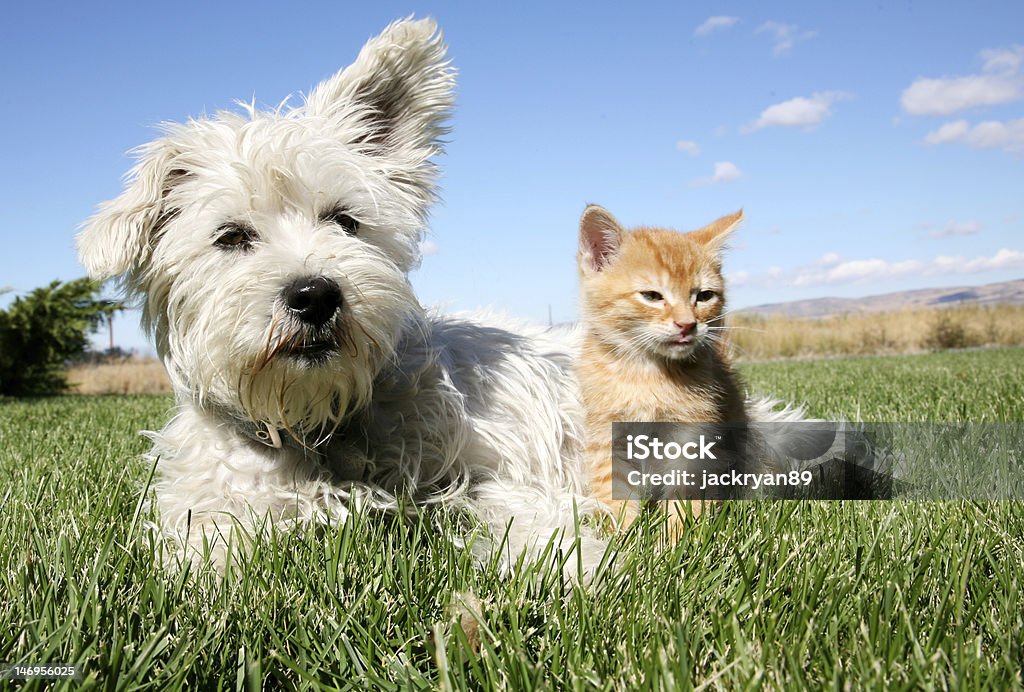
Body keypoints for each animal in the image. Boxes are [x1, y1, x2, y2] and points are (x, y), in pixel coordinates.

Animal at [81, 17, 606, 577]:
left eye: (345, 221)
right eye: (231, 236)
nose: (314, 295)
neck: (314, 421)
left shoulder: (506, 462)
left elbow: (524, 503)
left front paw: (561, 562)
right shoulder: (218, 487)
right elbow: (205, 544)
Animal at [577, 203, 745, 528]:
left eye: (704, 296)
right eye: (652, 296)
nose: (687, 324)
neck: (646, 374)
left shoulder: (693, 436)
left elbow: (687, 493)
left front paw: (676, 536)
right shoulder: (607, 435)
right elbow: (613, 491)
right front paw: (621, 536)